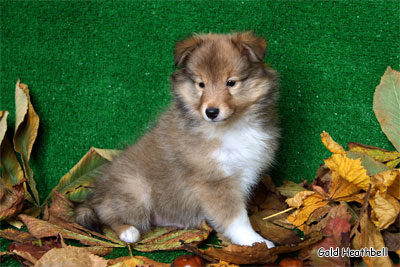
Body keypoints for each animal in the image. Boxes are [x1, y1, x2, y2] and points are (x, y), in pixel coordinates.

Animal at [76, 31, 280, 249]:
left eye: (231, 82)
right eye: (201, 84)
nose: (211, 112)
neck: (230, 127)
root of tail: (97, 193)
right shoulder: (214, 182)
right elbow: (236, 219)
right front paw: (257, 242)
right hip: (136, 190)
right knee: (106, 213)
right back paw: (128, 231)